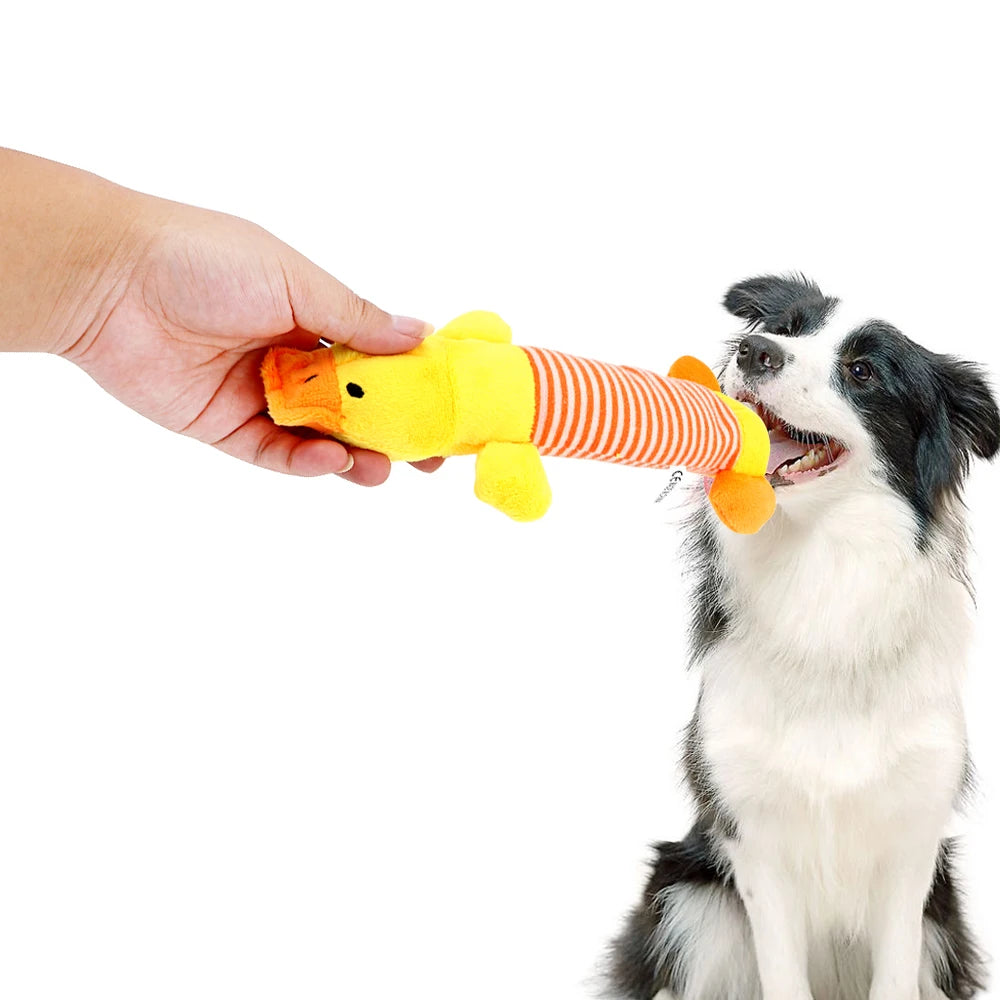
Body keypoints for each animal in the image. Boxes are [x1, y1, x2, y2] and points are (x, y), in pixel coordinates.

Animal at [604, 276, 996, 1000]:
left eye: (863, 372)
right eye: (786, 328)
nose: (755, 352)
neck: (820, 567)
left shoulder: (914, 841)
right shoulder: (751, 836)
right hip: (688, 895)